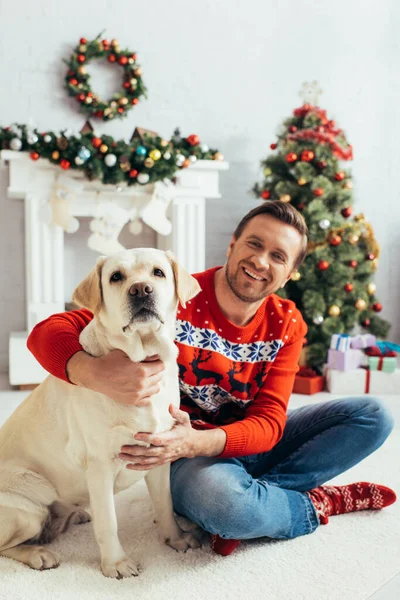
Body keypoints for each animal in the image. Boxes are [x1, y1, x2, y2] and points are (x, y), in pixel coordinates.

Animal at [0, 247, 202, 576]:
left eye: (158, 272)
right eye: (116, 277)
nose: (140, 289)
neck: (141, 358)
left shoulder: (159, 454)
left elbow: (165, 505)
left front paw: (177, 539)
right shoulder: (100, 465)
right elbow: (109, 522)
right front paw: (116, 564)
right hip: (30, 502)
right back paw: (39, 553)